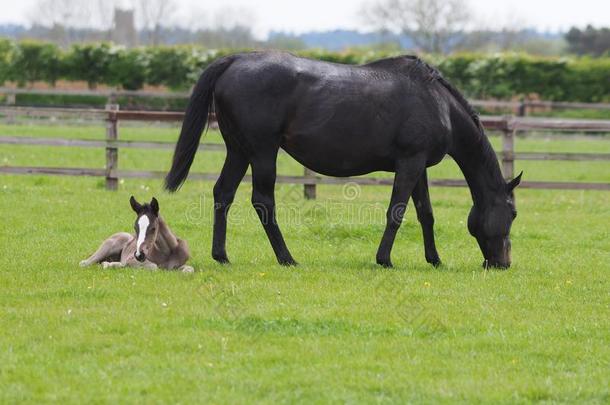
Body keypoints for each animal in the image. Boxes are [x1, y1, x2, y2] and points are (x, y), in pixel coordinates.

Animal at [164, 51, 520, 268]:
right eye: (513, 213)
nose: (502, 263)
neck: (437, 102)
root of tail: (235, 60)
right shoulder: (409, 163)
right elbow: (397, 212)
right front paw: (384, 259)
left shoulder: (418, 167)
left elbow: (425, 214)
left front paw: (434, 259)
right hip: (263, 152)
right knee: (263, 200)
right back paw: (286, 257)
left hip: (239, 151)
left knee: (223, 194)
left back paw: (222, 255)